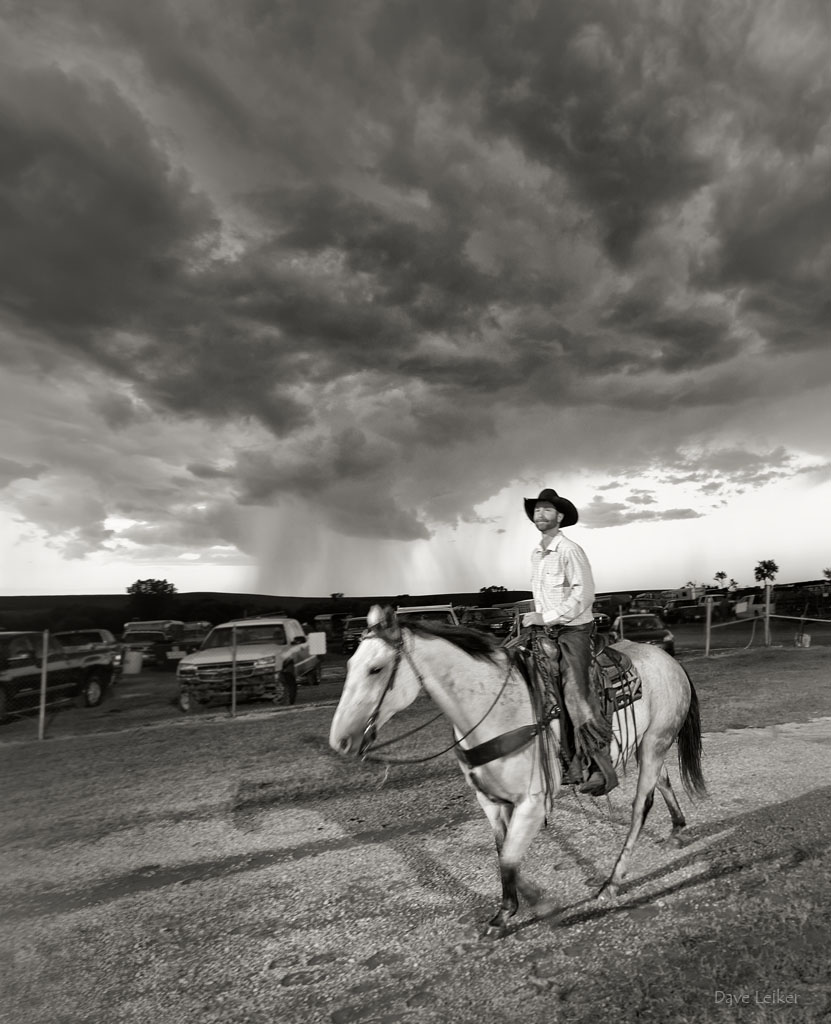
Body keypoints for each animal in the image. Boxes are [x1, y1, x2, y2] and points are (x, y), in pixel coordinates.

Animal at [327, 602, 704, 937]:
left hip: (655, 741)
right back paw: (677, 829)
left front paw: (530, 910)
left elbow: (508, 858)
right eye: (350, 663)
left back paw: (612, 882)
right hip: (646, 744)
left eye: (375, 669)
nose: (340, 740)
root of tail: (669, 660)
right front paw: (517, 907)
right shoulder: (491, 801)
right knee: (663, 782)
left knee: (641, 804)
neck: (493, 708)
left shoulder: (533, 802)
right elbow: (503, 852)